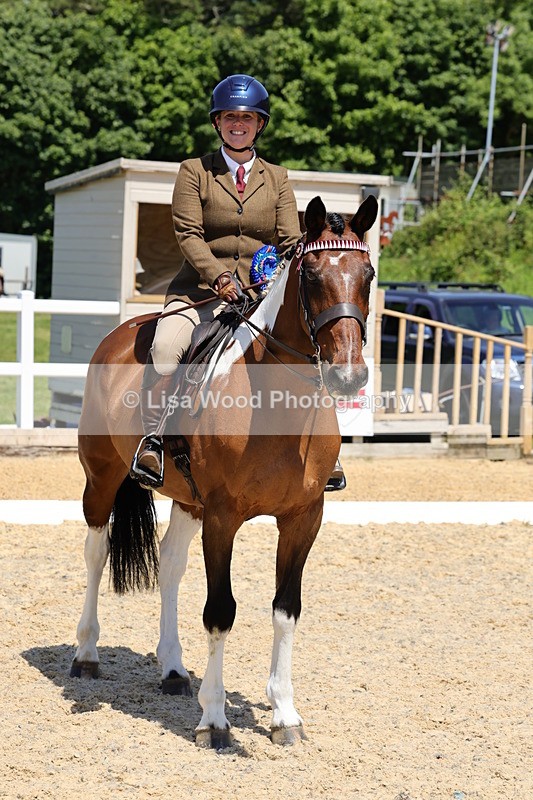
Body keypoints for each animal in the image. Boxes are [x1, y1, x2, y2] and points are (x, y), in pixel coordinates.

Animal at [72, 193, 378, 748]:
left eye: (366, 275)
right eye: (312, 275)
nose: (349, 375)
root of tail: (122, 331)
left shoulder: (304, 518)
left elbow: (286, 609)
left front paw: (284, 715)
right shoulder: (222, 517)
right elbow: (220, 611)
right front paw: (214, 719)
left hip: (185, 499)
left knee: (170, 564)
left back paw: (173, 670)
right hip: (102, 478)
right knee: (96, 552)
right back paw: (86, 655)